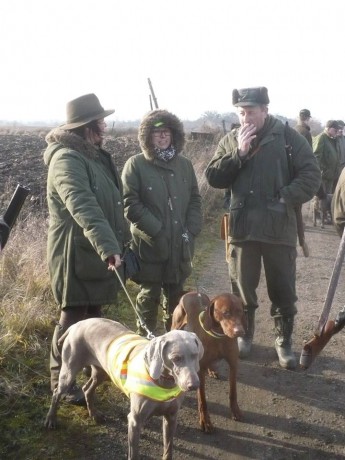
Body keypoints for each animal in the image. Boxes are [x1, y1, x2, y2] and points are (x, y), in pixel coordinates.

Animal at [44, 318, 203, 460]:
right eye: (176, 358)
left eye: (195, 355)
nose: (194, 385)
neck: (164, 383)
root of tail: (76, 324)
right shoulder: (135, 420)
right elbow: (134, 453)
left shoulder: (171, 417)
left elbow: (168, 447)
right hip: (69, 370)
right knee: (57, 392)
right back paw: (51, 420)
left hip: (102, 372)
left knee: (87, 388)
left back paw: (94, 414)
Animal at [170, 290, 245, 434]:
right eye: (226, 312)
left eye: (240, 311)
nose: (240, 332)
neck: (219, 336)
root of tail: (192, 292)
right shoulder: (200, 372)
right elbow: (202, 400)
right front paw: (205, 421)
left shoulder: (233, 365)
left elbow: (233, 392)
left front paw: (235, 411)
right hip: (175, 325)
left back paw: (212, 370)